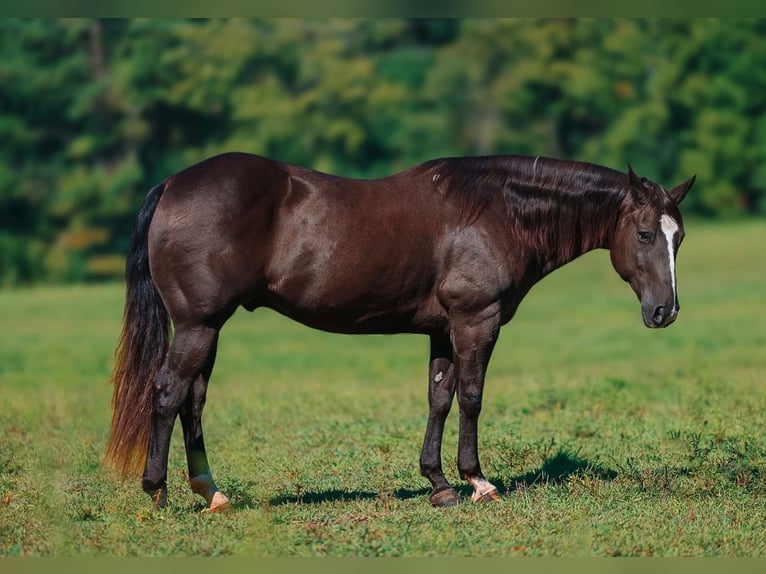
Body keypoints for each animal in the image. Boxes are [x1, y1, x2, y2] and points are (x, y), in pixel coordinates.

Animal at [104, 152, 695, 511]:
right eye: (645, 234)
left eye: (680, 237)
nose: (665, 311)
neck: (497, 212)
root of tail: (173, 183)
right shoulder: (476, 320)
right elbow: (472, 397)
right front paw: (477, 481)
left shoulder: (443, 330)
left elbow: (439, 397)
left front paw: (438, 484)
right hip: (199, 325)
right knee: (168, 393)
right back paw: (158, 492)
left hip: (207, 327)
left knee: (193, 399)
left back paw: (213, 493)